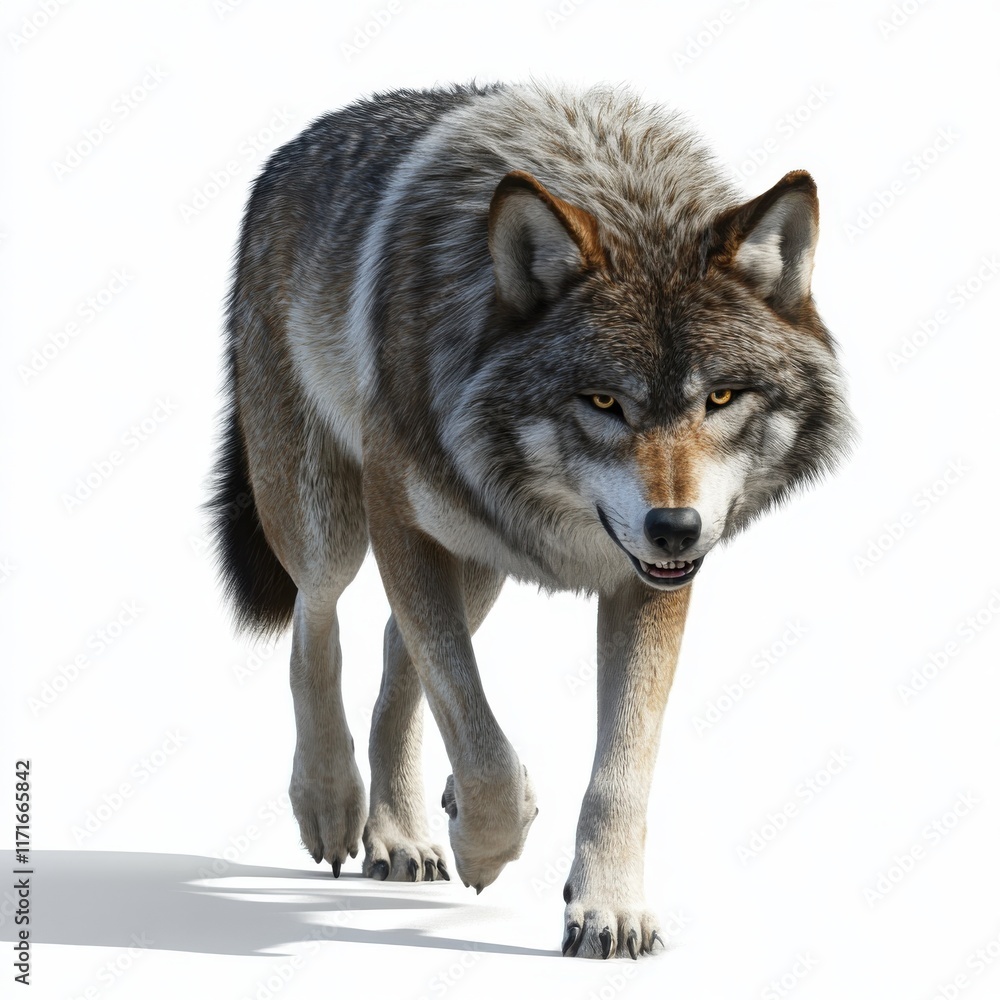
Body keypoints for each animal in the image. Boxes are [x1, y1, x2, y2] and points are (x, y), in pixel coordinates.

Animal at [209, 81, 853, 959]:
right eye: (604, 401)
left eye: (720, 397)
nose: (677, 527)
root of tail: (291, 149)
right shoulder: (399, 515)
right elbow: (481, 744)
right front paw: (486, 844)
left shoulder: (646, 581)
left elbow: (619, 766)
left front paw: (608, 907)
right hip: (333, 522)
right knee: (319, 623)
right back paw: (333, 804)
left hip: (477, 561)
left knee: (397, 654)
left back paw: (398, 833)